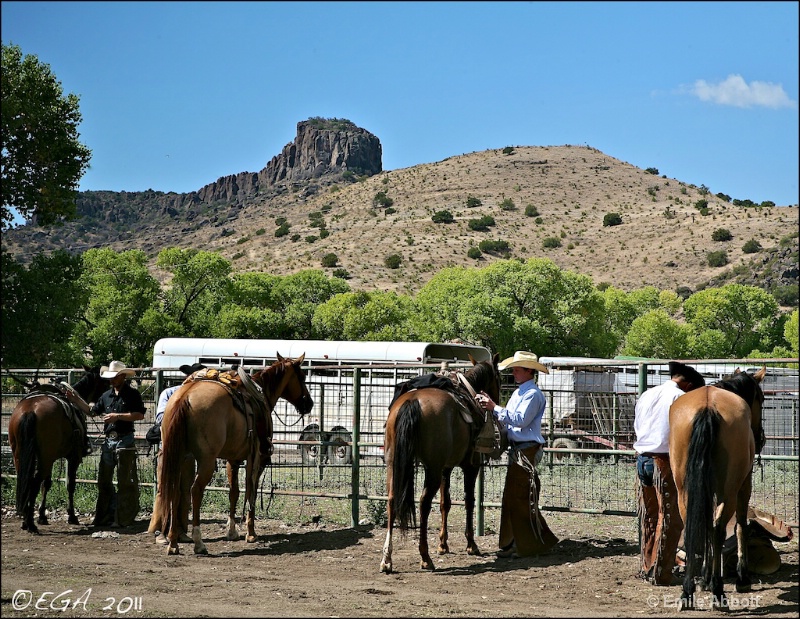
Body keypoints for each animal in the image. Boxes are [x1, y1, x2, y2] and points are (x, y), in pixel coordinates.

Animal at [8, 366, 109, 536]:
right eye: (105, 382)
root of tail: (30, 411)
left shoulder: (50, 458)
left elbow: (47, 484)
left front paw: (42, 516)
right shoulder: (72, 458)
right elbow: (70, 484)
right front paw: (72, 516)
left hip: (23, 456)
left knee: (26, 482)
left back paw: (25, 520)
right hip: (45, 459)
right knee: (34, 483)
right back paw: (30, 524)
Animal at [155, 354, 312, 556]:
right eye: (302, 376)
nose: (309, 403)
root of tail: (184, 397)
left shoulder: (233, 459)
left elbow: (234, 492)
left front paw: (232, 531)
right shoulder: (257, 460)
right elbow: (251, 492)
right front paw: (250, 533)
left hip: (180, 457)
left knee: (175, 491)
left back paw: (173, 542)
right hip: (206, 461)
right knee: (195, 491)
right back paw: (199, 542)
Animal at [380, 356, 500, 572]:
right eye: (500, 378)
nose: (498, 400)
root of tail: (412, 401)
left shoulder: (446, 468)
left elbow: (446, 503)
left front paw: (443, 544)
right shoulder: (470, 467)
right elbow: (469, 501)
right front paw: (471, 545)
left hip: (394, 464)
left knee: (392, 500)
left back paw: (387, 559)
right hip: (432, 469)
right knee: (424, 502)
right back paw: (425, 557)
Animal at [668, 368, 768, 612]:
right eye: (761, 398)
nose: (761, 438)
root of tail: (707, 407)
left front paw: (703, 578)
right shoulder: (744, 485)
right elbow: (741, 525)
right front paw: (742, 578)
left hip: (684, 490)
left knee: (695, 526)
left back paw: (688, 592)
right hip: (729, 491)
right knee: (718, 529)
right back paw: (718, 591)